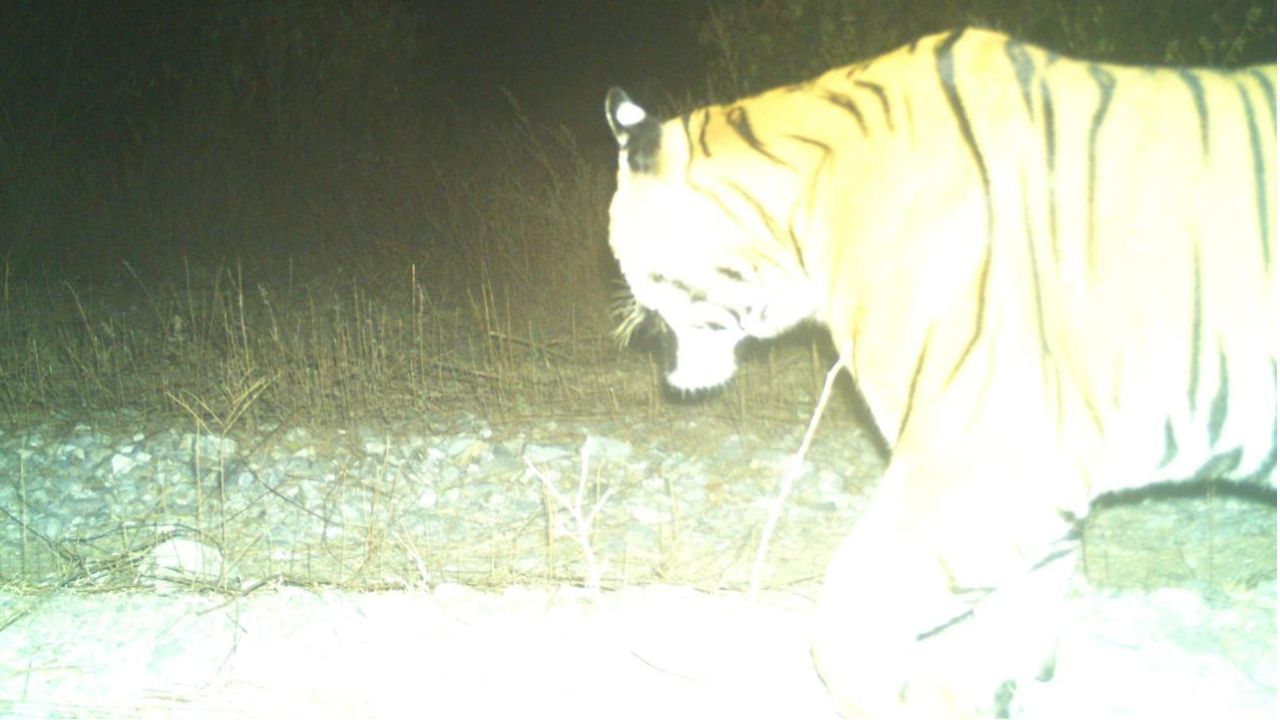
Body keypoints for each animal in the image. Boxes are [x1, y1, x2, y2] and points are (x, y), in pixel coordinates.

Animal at [604, 25, 1274, 712]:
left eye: (625, 251)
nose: (638, 328)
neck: (805, 216)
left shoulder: (987, 456)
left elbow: (849, 618)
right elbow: (1017, 620)